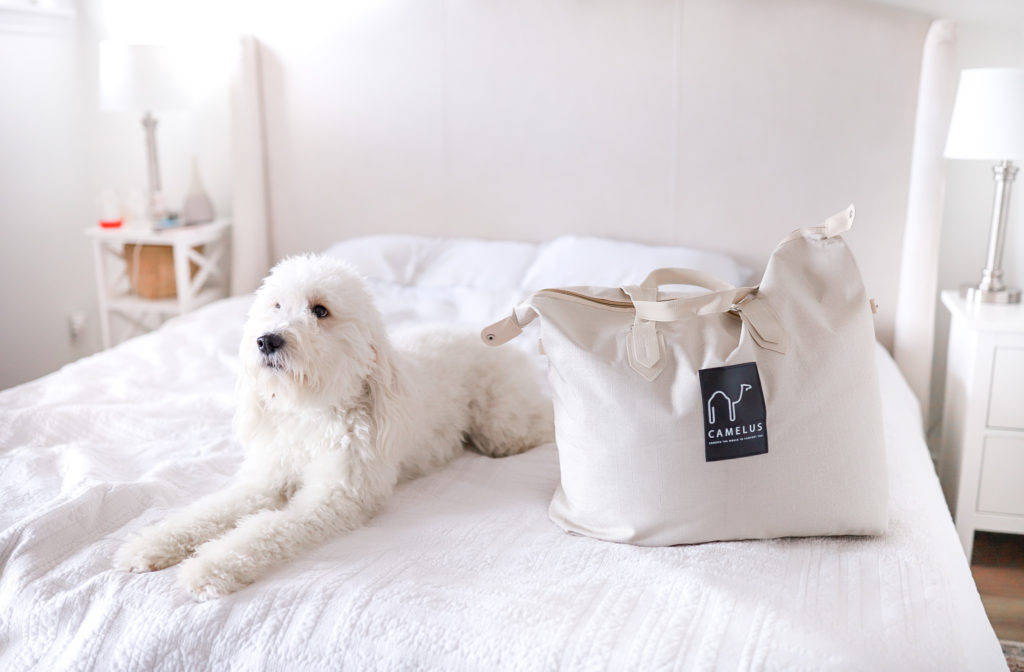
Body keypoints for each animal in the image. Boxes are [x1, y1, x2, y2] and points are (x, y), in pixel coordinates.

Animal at [115, 254, 553, 599]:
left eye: (320, 310)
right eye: (276, 305)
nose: (267, 340)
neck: (312, 412)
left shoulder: (333, 499)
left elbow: (265, 530)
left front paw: (208, 568)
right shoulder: (266, 481)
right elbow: (207, 512)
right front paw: (151, 544)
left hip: (501, 427)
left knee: (538, 425)